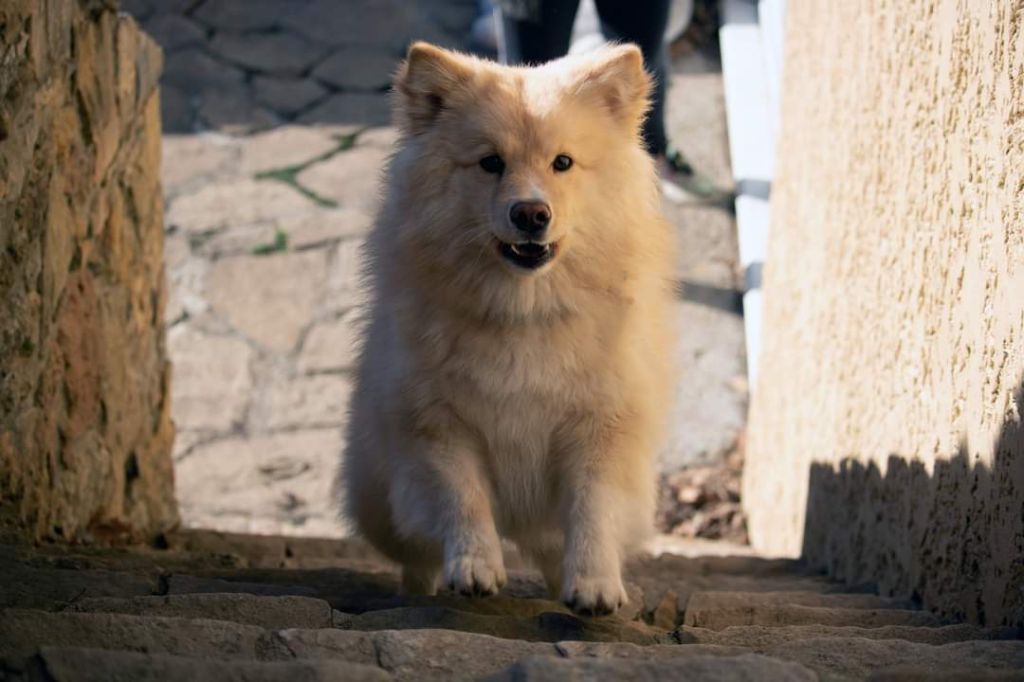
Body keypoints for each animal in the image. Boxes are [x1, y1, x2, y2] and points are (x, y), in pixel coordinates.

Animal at [342, 42, 679, 614]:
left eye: (562, 163)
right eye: (490, 163)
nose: (531, 214)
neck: (524, 313)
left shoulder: (600, 430)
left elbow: (592, 510)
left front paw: (595, 585)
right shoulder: (438, 427)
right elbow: (464, 500)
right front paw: (474, 568)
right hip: (383, 499)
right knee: (416, 554)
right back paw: (420, 591)